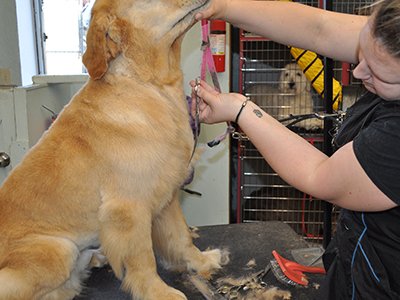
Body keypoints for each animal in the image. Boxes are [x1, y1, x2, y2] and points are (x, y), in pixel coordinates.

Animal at [0, 0, 228, 300]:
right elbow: (143, 260)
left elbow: (181, 237)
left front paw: (201, 262)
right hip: (58, 251)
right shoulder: (128, 210)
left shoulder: (167, 196)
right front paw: (158, 291)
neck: (150, 86)